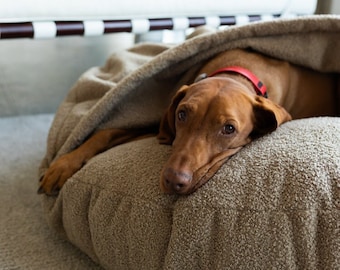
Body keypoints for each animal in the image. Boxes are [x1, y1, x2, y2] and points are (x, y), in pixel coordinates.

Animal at [37, 49, 338, 196]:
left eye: (229, 129)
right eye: (182, 114)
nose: (174, 181)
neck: (238, 70)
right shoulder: (162, 127)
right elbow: (106, 132)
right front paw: (63, 166)